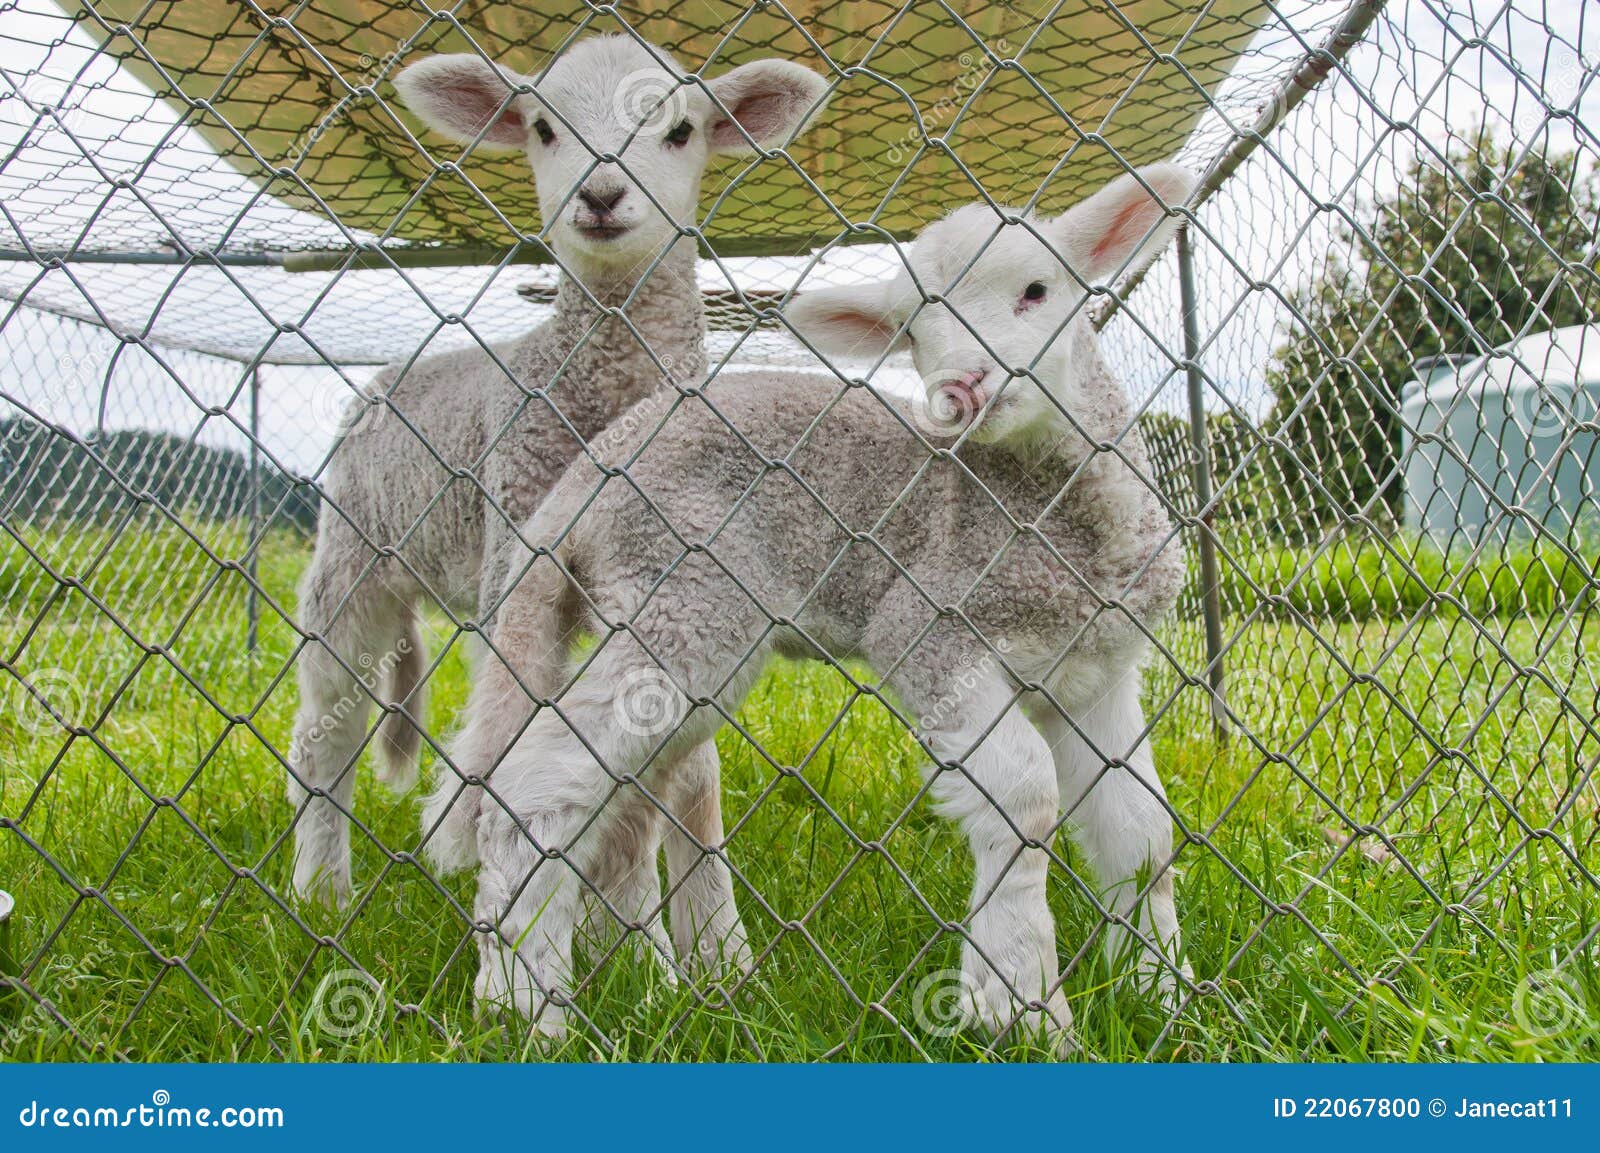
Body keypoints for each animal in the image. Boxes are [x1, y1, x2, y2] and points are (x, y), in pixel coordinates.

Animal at [286, 26, 828, 987]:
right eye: (542, 128)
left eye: (681, 130)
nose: (601, 195)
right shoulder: (522, 551)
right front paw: (640, 955)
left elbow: (688, 780)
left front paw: (712, 956)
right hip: (351, 557)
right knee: (326, 737)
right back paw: (320, 892)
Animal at [434, 162, 1199, 1051]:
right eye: (914, 331)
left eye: (1038, 290)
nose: (963, 388)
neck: (1053, 512)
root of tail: (593, 471)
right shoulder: (930, 625)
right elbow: (1025, 798)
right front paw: (1021, 1006)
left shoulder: (1096, 673)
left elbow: (1143, 833)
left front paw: (1164, 997)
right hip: (687, 595)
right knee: (538, 777)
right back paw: (526, 1003)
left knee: (618, 798)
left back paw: (638, 983)